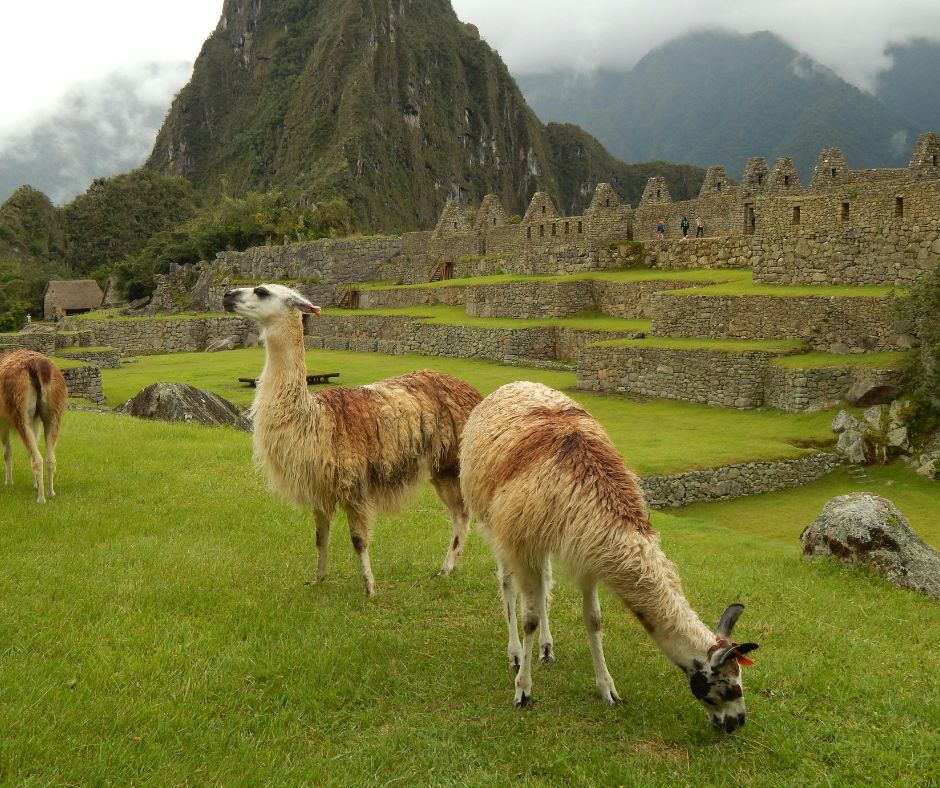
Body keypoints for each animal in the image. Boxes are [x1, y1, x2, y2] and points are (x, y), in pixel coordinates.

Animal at [0, 350, 67, 503]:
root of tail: (38, 365)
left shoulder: (3, 422)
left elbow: (7, 452)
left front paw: (8, 482)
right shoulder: (35, 421)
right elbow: (29, 452)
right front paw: (36, 484)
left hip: (21, 412)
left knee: (38, 460)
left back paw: (41, 499)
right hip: (53, 413)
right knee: (50, 459)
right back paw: (50, 492)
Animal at [223, 284, 482, 596]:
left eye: (261, 291)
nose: (227, 296)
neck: (314, 418)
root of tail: (470, 390)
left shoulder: (354, 483)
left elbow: (358, 539)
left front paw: (370, 588)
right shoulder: (320, 488)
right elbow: (319, 537)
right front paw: (317, 578)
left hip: (453, 463)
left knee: (462, 514)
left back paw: (448, 569)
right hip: (442, 467)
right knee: (460, 514)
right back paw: (448, 569)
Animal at [459, 381, 758, 732]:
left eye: (740, 680)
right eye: (727, 686)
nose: (736, 722)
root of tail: (514, 384)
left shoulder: (589, 554)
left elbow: (593, 620)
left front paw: (608, 689)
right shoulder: (521, 542)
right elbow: (528, 618)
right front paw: (523, 690)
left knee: (544, 585)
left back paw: (547, 648)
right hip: (496, 523)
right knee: (507, 585)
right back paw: (516, 653)